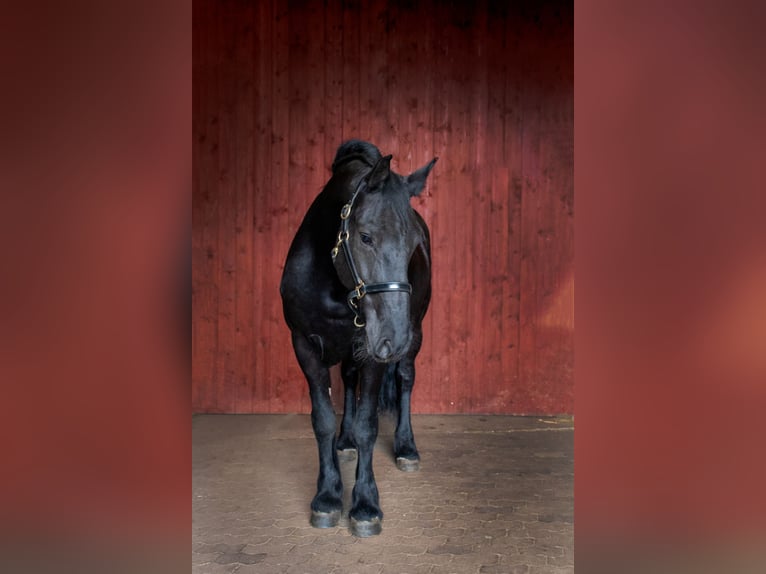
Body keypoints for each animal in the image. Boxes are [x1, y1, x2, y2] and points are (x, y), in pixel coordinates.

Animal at [280, 141, 438, 540]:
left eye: (413, 244)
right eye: (365, 237)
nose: (394, 337)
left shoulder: (372, 354)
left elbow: (369, 425)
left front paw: (365, 504)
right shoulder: (305, 347)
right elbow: (322, 419)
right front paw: (327, 497)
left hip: (413, 336)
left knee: (406, 380)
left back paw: (406, 448)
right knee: (349, 383)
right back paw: (345, 441)